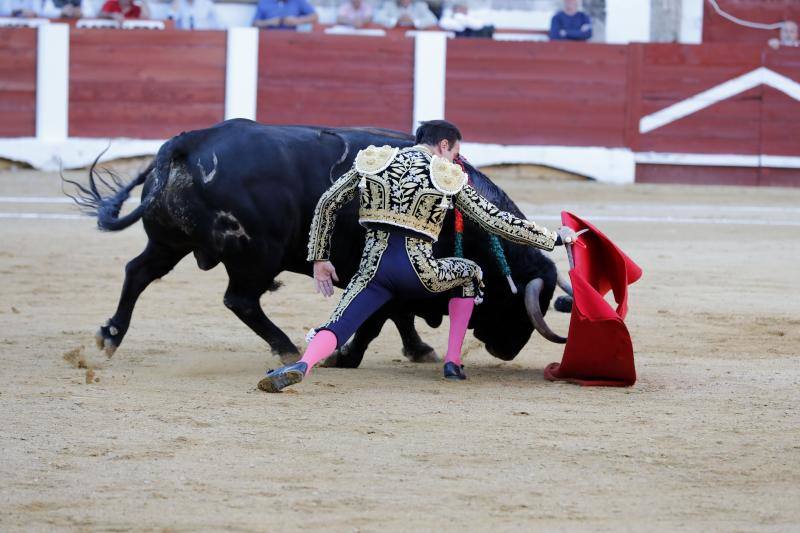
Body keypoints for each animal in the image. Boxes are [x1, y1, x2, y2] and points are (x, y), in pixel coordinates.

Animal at [67, 120, 568, 368]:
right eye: (514, 304)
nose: (508, 351)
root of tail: (189, 142)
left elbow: (400, 316)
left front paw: (417, 349)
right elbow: (380, 317)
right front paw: (348, 355)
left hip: (170, 241)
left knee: (138, 273)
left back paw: (109, 336)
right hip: (256, 256)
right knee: (240, 299)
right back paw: (287, 347)